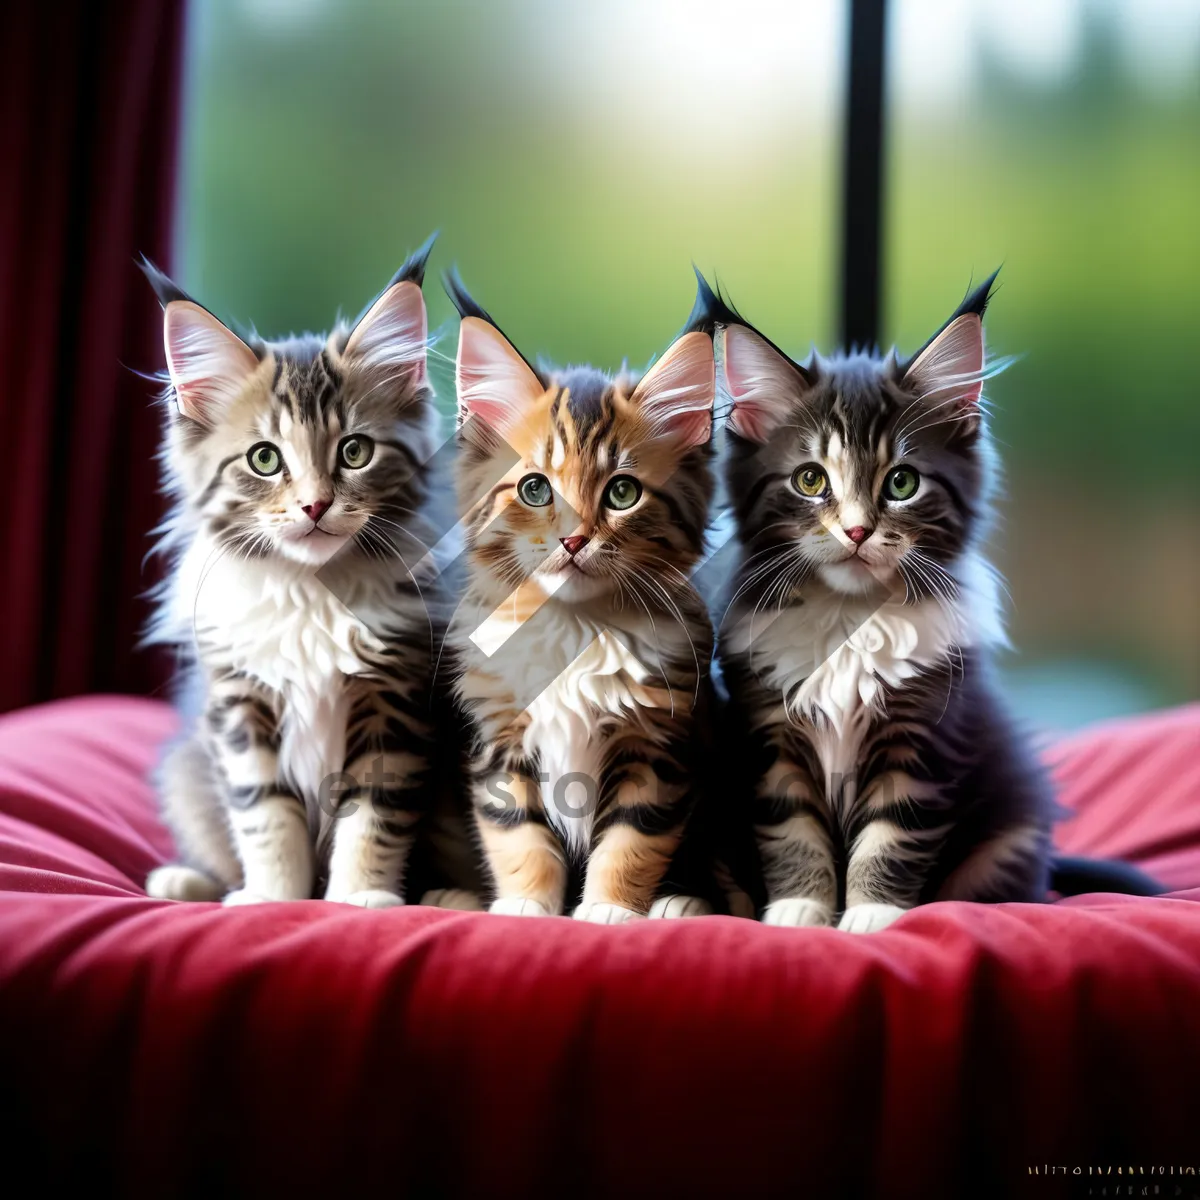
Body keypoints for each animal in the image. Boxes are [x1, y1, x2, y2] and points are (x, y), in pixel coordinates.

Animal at [144, 236, 446, 907]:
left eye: (355, 452)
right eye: (264, 459)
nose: (314, 505)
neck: (311, 593)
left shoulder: (393, 698)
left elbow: (373, 814)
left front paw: (360, 897)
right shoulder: (239, 703)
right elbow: (264, 814)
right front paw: (273, 898)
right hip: (186, 772)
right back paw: (185, 880)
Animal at [700, 274, 1060, 936]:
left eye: (902, 483)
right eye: (810, 480)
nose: (858, 531)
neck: (850, 620)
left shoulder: (921, 739)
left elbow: (890, 840)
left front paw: (872, 917)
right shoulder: (771, 740)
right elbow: (793, 834)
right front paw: (799, 910)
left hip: (1009, 832)